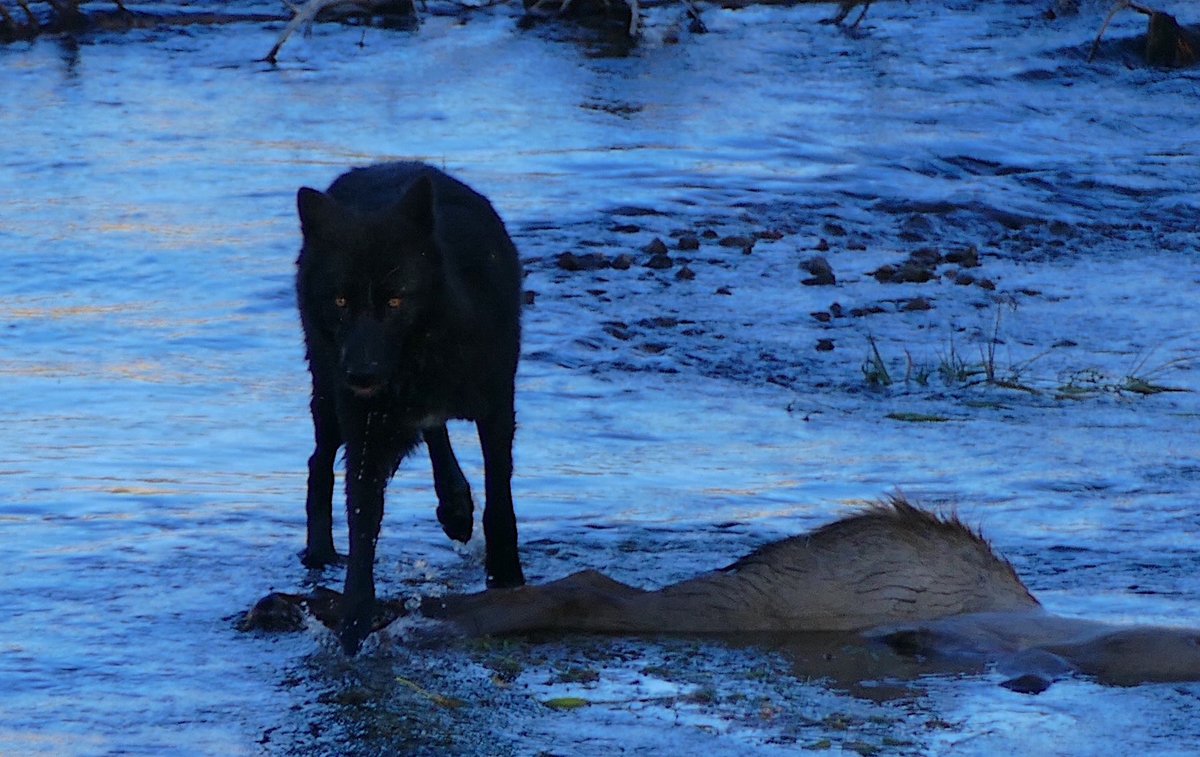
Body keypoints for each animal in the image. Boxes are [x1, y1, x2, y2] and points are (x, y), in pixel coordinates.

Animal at [292, 163, 523, 652]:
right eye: (341, 300)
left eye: (396, 299)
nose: (361, 375)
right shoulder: (364, 435)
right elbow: (362, 525)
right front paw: (354, 625)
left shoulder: (497, 408)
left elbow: (500, 501)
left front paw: (507, 577)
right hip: (326, 392)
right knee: (318, 461)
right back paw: (320, 552)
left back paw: (455, 507)